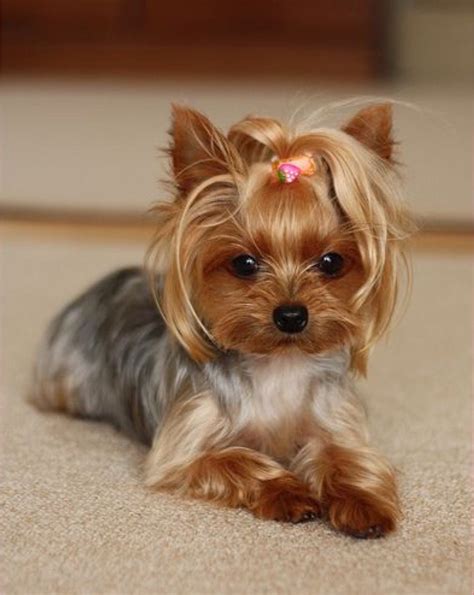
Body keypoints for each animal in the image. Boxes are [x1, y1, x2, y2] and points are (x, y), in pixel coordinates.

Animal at [31, 103, 412, 540]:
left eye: (331, 262)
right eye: (244, 263)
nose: (292, 315)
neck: (278, 364)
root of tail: (107, 281)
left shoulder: (334, 423)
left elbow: (347, 458)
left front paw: (363, 504)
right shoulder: (184, 450)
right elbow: (235, 459)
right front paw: (288, 492)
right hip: (64, 382)